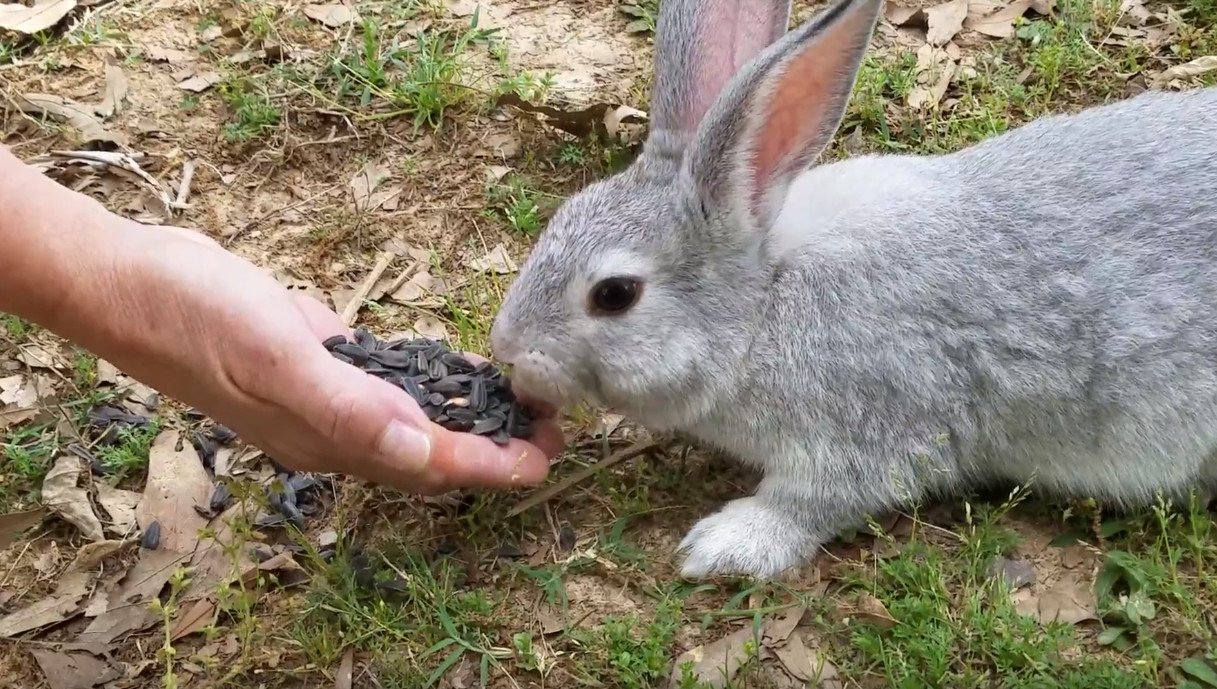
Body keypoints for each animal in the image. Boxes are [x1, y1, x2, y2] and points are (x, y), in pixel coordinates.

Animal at [489, 0, 1217, 581]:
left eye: (614, 294)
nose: (506, 349)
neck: (763, 305)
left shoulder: (865, 432)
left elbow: (812, 501)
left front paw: (724, 546)